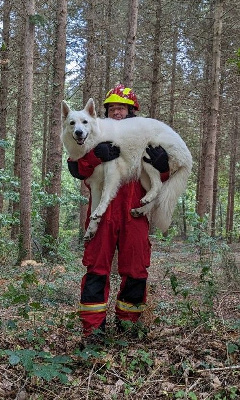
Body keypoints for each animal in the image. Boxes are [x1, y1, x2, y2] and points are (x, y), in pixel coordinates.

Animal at [61, 99, 192, 241]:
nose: (78, 132)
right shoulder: (95, 184)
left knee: (158, 185)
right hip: (144, 175)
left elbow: (105, 196)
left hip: (148, 156)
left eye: (85, 122)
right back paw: (141, 209)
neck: (96, 140)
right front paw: (91, 228)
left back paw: (146, 200)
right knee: (157, 195)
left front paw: (99, 211)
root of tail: (187, 156)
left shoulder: (111, 172)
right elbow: (93, 208)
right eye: (72, 123)